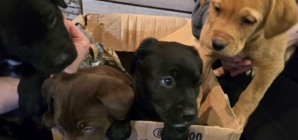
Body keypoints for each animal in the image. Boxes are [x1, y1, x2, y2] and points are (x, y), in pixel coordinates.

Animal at [198, 0, 298, 129]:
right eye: (217, 9)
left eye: (248, 21)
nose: (217, 44)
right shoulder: (206, 52)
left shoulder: (271, 66)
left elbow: (251, 95)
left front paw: (238, 117)